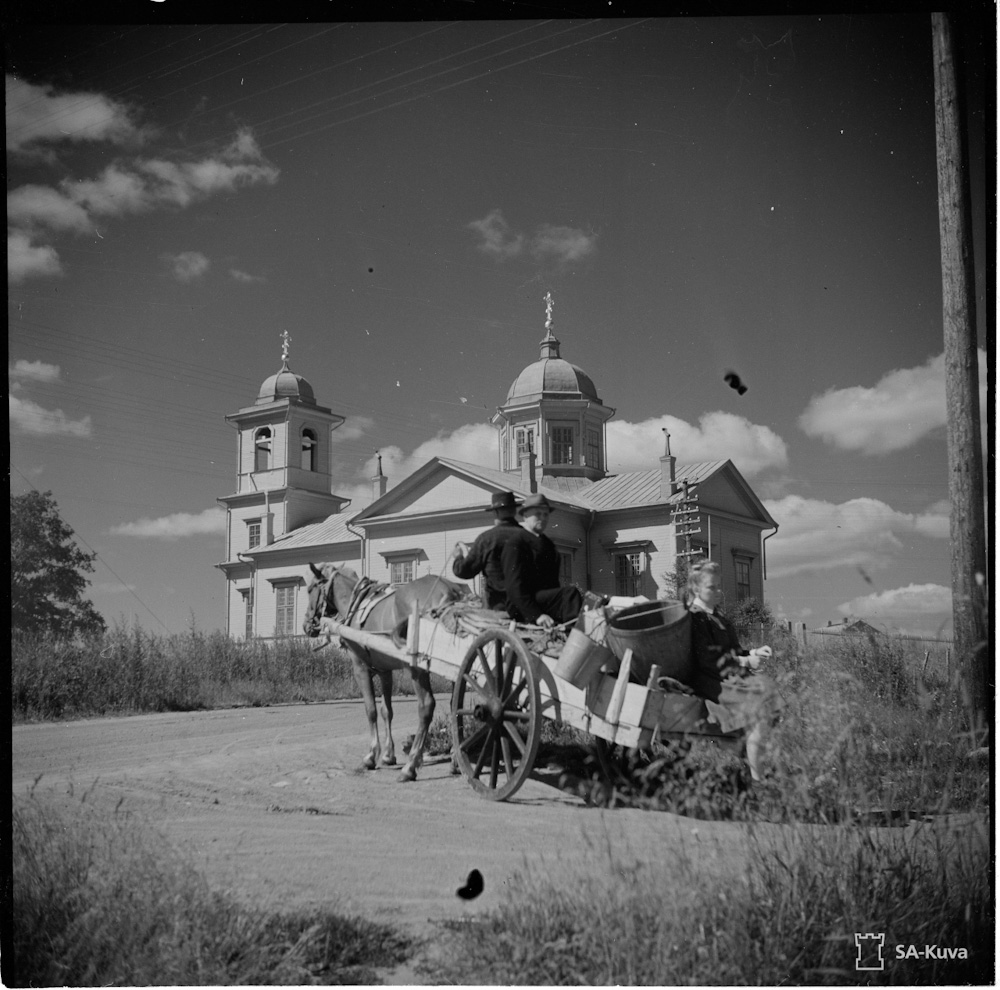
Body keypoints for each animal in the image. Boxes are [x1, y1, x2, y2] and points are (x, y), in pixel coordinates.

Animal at [302, 564, 470, 784]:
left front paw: (371, 755)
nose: (306, 625)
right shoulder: (385, 672)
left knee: (426, 706)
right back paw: (456, 760)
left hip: (416, 668)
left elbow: (371, 710)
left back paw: (410, 766)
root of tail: (449, 590)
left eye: (310, 589)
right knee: (456, 707)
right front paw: (389, 754)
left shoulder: (360, 668)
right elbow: (386, 711)